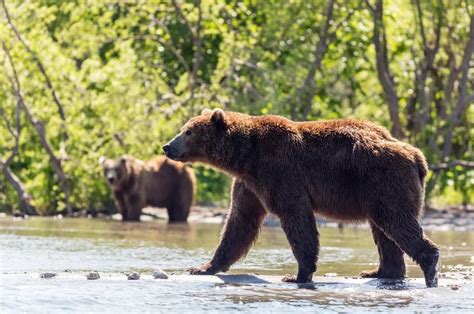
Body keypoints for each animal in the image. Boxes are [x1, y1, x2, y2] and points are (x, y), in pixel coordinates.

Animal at [164, 109, 440, 288]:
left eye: (188, 132)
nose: (167, 146)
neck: (244, 157)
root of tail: (417, 157)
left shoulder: (280, 172)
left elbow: (296, 218)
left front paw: (298, 275)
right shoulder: (249, 184)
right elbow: (239, 223)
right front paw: (203, 266)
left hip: (383, 180)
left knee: (396, 222)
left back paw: (429, 266)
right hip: (377, 189)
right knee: (384, 231)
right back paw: (378, 272)